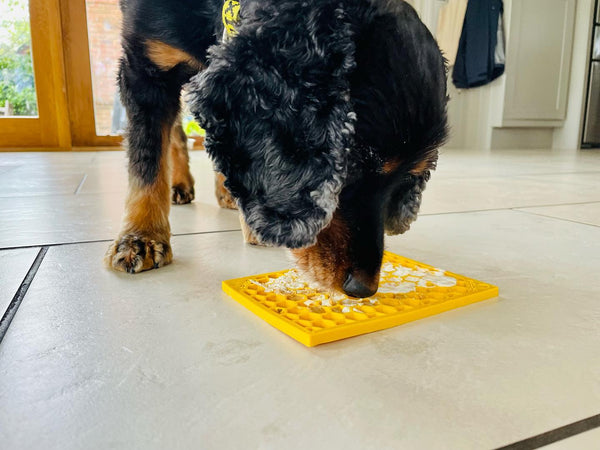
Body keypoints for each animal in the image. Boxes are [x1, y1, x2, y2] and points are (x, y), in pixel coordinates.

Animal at [105, 0, 448, 298]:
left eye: (406, 179)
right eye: (346, 170)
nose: (363, 289)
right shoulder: (143, 69)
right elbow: (146, 161)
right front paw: (141, 235)